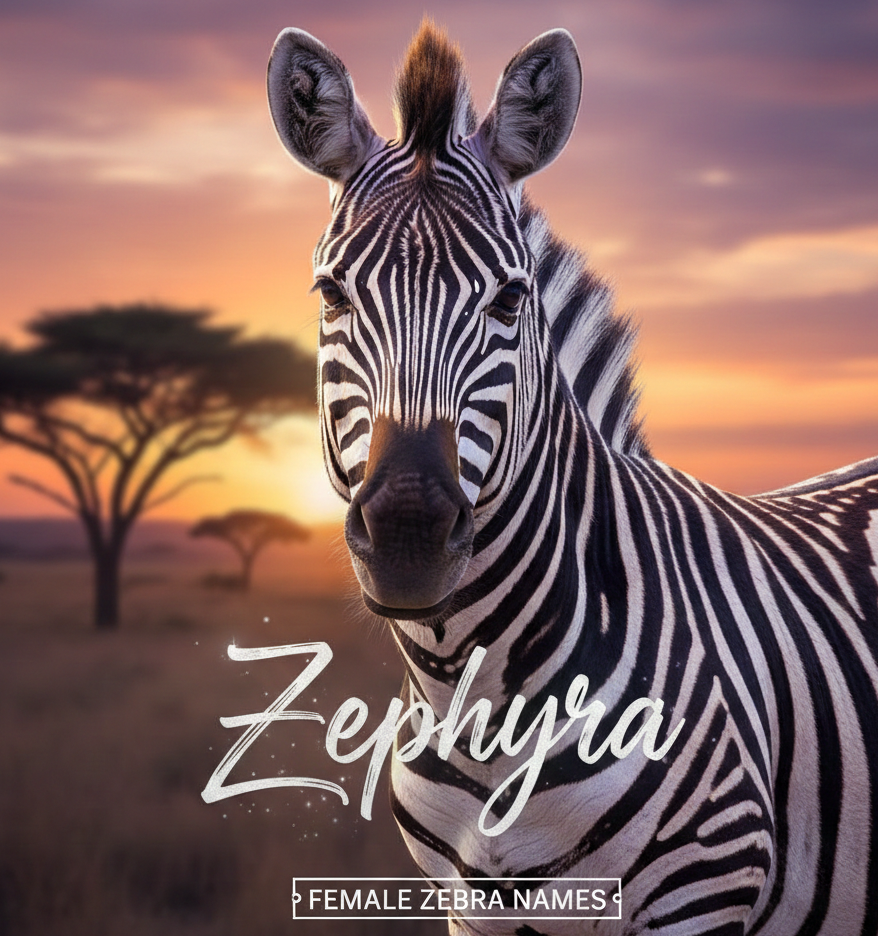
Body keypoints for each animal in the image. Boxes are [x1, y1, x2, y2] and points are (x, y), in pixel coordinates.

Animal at [267, 20, 878, 936]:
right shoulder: (469, 907)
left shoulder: (702, 885)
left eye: (510, 300)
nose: (409, 536)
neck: (478, 702)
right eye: (332, 294)